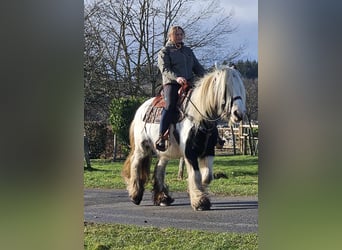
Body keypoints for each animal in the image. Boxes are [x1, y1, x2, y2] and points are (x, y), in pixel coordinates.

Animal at [121, 66, 244, 211]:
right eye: (225, 88)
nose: (238, 113)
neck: (198, 118)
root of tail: (141, 109)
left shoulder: (208, 151)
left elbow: (206, 176)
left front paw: (197, 193)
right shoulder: (189, 153)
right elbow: (196, 175)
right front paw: (199, 201)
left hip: (164, 151)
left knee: (159, 169)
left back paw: (163, 198)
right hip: (142, 147)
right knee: (136, 164)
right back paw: (135, 195)